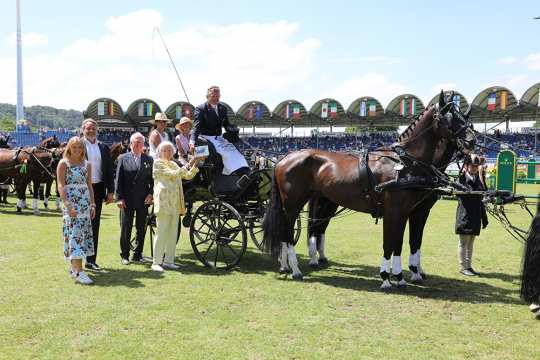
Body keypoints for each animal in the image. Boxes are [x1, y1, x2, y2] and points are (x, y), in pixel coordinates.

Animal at [264, 93, 474, 290]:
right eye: (449, 116)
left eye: (462, 116)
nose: (472, 140)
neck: (405, 164)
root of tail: (285, 157)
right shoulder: (396, 211)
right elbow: (391, 242)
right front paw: (388, 278)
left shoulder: (409, 211)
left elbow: (404, 242)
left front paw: (402, 276)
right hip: (293, 204)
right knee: (289, 232)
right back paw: (294, 269)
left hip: (322, 202)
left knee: (309, 228)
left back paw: (294, 264)